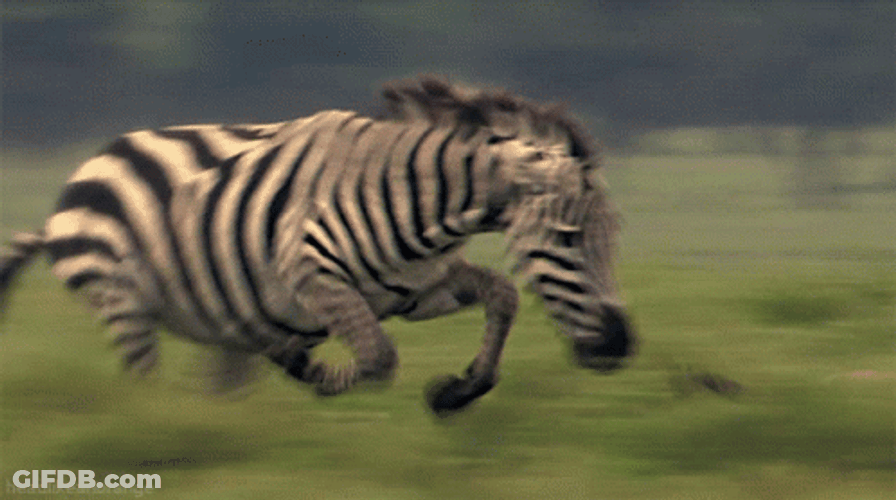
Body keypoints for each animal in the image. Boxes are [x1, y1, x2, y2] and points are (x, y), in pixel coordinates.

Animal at [0, 75, 635, 414]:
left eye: (614, 241)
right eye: (569, 240)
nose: (620, 347)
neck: (422, 202)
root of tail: (87, 168)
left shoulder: (420, 290)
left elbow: (502, 295)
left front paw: (457, 392)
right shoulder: (312, 276)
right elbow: (378, 359)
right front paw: (316, 372)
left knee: (216, 394)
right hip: (122, 304)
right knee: (145, 386)